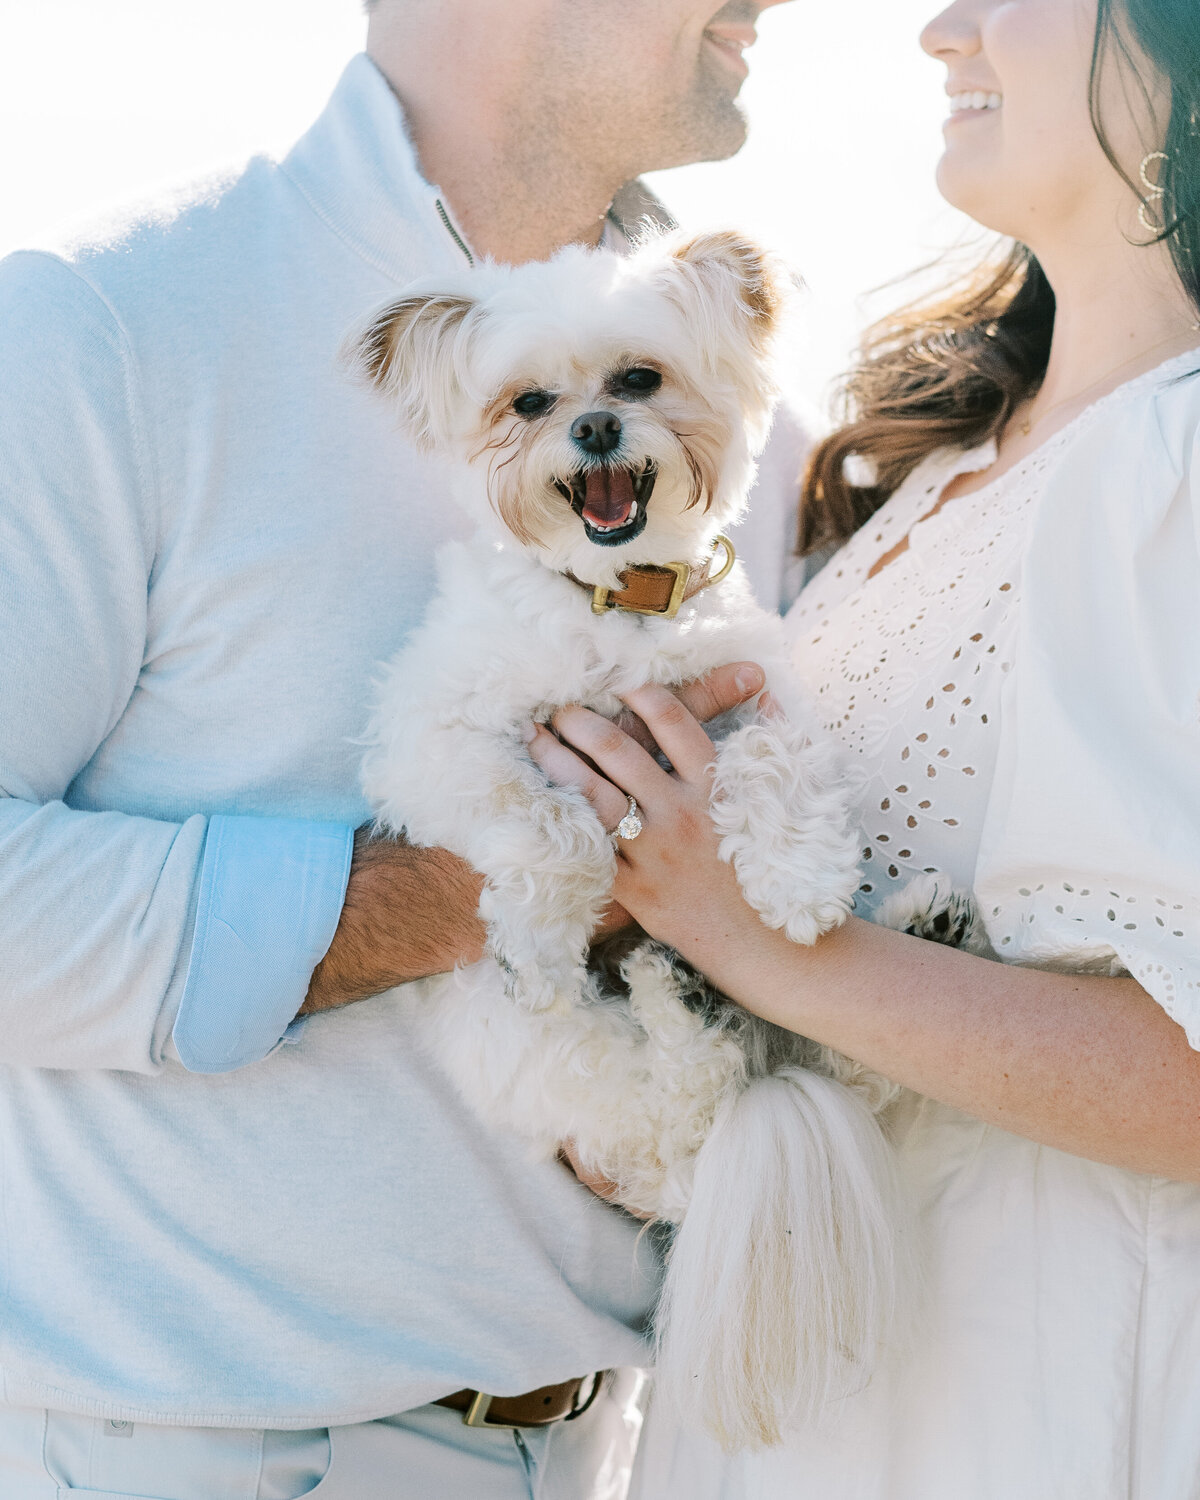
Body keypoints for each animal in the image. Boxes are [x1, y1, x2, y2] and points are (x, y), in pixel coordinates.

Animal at [342, 234, 972, 1452]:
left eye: (638, 378)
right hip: (578, 1074)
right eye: (529, 402)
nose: (592, 429)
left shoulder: (750, 695)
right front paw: (544, 940)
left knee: (836, 1056)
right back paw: (677, 996)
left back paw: (913, 927)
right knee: (689, 1097)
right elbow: (551, 824)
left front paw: (800, 882)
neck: (619, 607)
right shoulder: (435, 744)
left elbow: (774, 769)